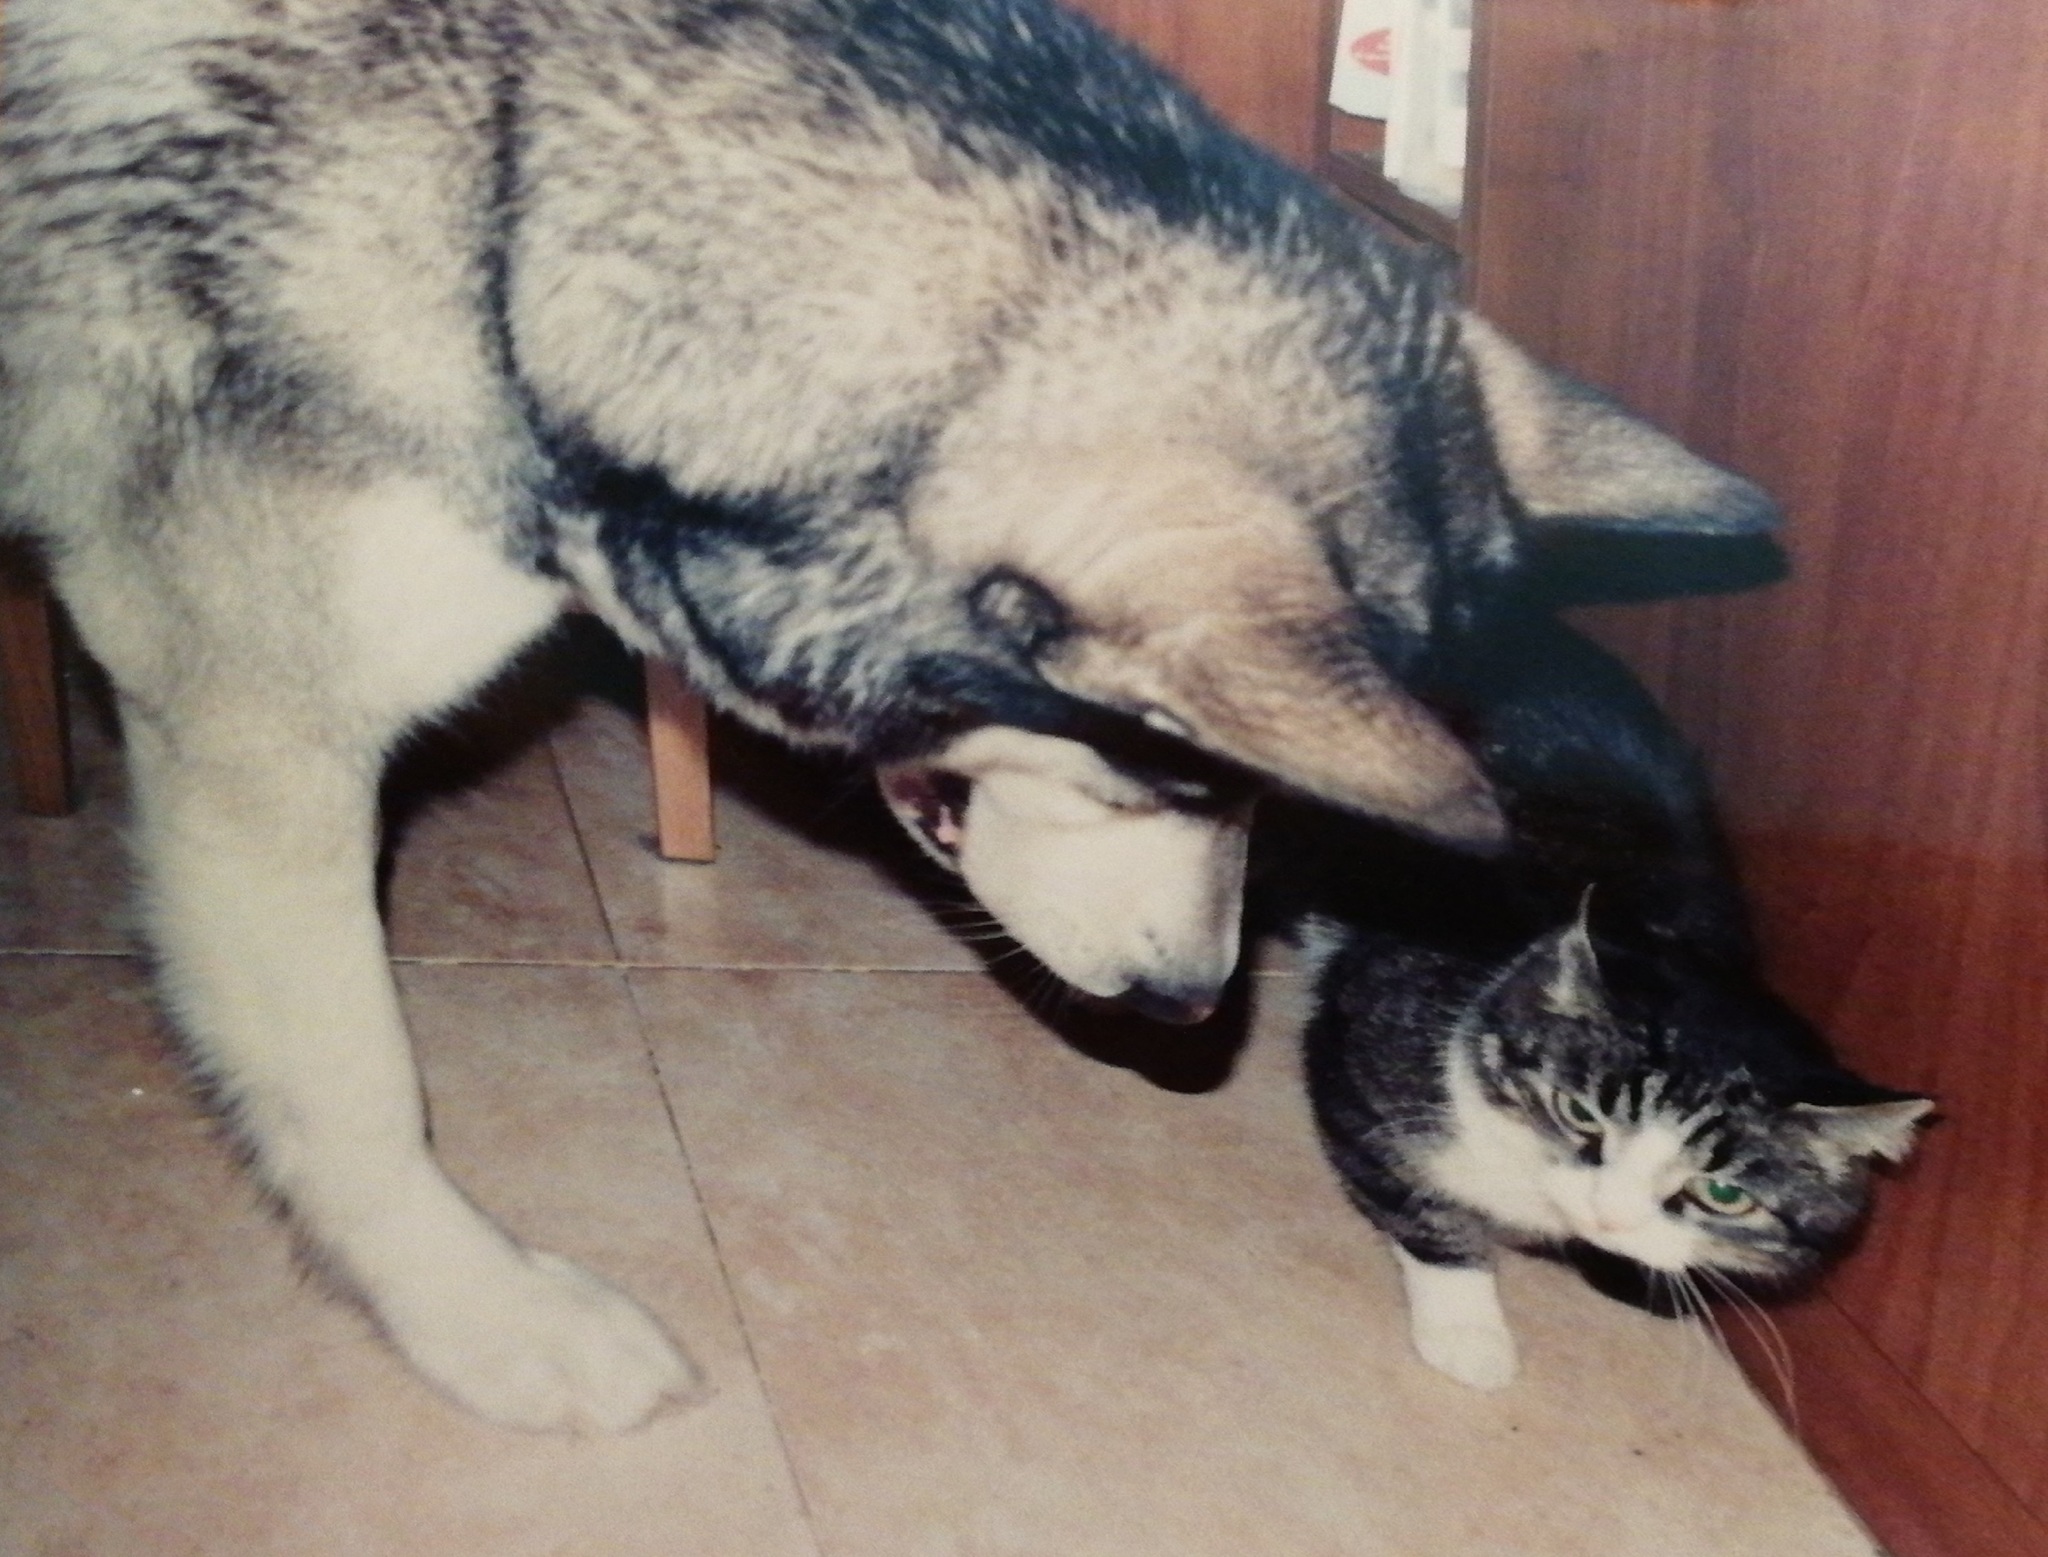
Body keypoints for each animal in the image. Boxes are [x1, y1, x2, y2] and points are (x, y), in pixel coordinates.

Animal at [0, 0, 1777, 1434]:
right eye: (1173, 766)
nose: (1191, 1000)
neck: (506, 207)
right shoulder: (253, 734)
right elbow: (359, 1079)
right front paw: (485, 1326)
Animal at [1261, 606, 1933, 1384]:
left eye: (1724, 1194)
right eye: (1578, 1112)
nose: (1606, 1216)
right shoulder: (1367, 1047)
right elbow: (1415, 1195)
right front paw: (1468, 1329)